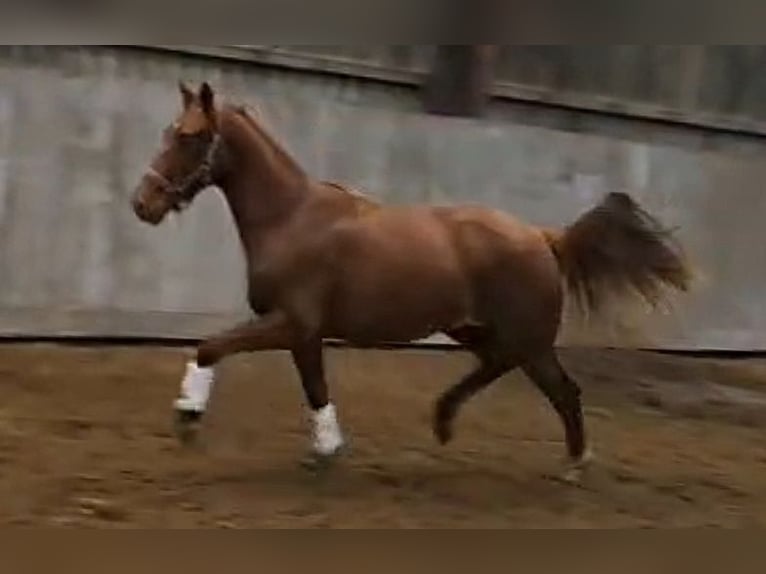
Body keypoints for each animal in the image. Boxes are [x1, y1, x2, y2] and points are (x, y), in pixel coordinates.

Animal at [131, 81, 691, 480]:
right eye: (167, 131)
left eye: (189, 136)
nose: (143, 204)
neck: (291, 218)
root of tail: (541, 235)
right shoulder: (302, 332)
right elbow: (313, 386)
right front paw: (326, 449)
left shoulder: (292, 323)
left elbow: (213, 346)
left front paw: (187, 419)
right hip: (477, 328)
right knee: (498, 365)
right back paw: (444, 420)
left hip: (528, 340)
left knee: (563, 390)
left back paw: (574, 463)